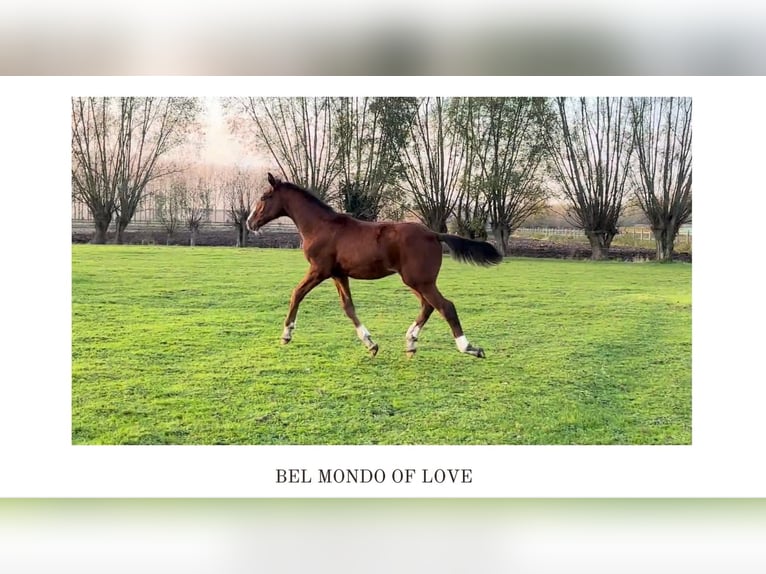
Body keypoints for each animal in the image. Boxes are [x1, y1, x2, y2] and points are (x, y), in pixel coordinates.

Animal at [249, 173, 508, 360]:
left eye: (263, 198)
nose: (250, 222)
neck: (321, 226)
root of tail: (434, 234)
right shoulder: (338, 274)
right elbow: (348, 307)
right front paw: (371, 344)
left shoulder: (319, 270)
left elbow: (296, 294)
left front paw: (286, 335)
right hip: (415, 281)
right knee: (428, 306)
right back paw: (411, 342)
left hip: (420, 281)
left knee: (446, 306)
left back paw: (469, 347)